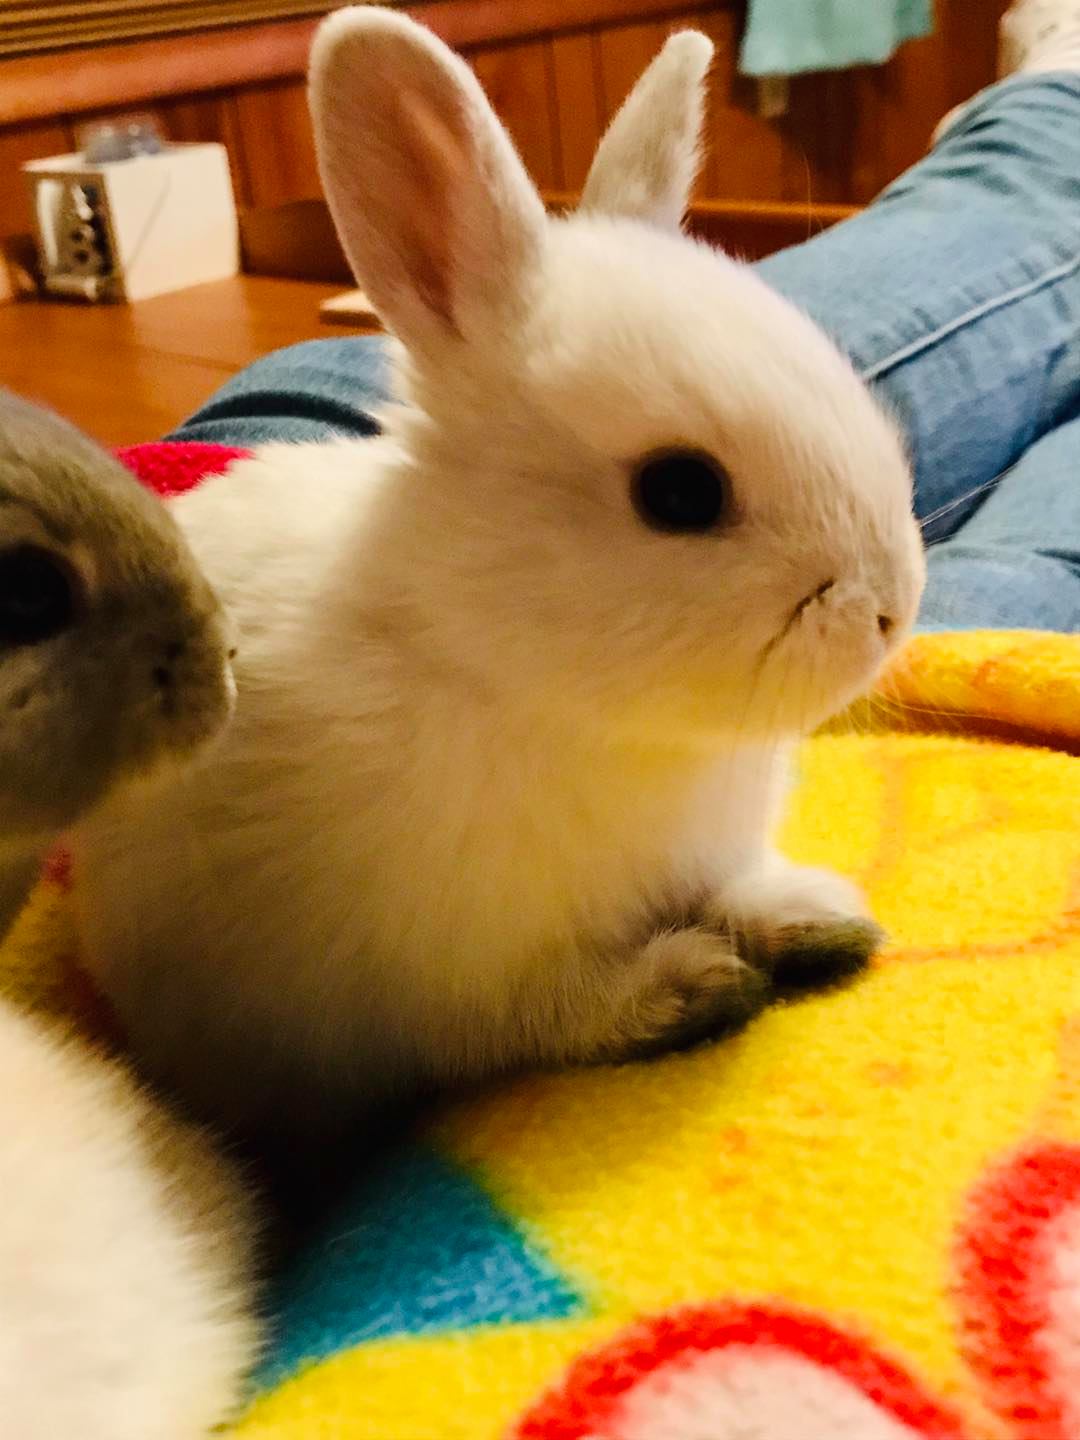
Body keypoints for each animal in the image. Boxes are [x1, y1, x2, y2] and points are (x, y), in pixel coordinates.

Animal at [72, 9, 926, 1146]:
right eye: (680, 492)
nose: (891, 611)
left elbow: (741, 890)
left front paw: (816, 918)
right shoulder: (460, 980)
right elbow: (555, 1014)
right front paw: (693, 986)